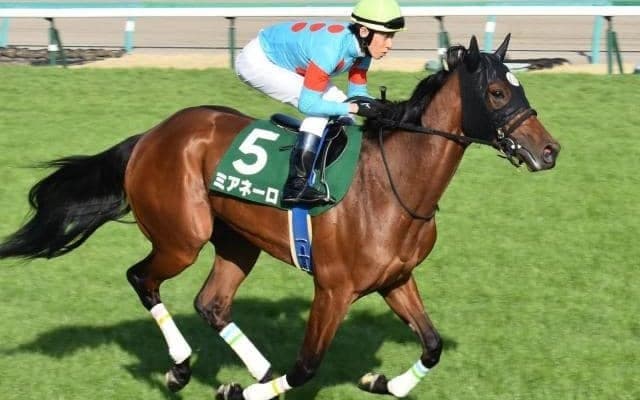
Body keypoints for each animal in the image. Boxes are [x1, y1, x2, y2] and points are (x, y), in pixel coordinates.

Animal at [0, 35, 559, 400]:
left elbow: (433, 345)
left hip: (237, 240)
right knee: (143, 279)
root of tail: (151, 135)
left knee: (211, 303)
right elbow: (307, 366)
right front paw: (243, 391)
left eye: (521, 89)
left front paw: (383, 381)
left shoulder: (396, 278)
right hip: (182, 238)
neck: (392, 186)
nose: (550, 150)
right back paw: (181, 369)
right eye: (497, 93)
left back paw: (252, 366)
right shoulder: (333, 289)